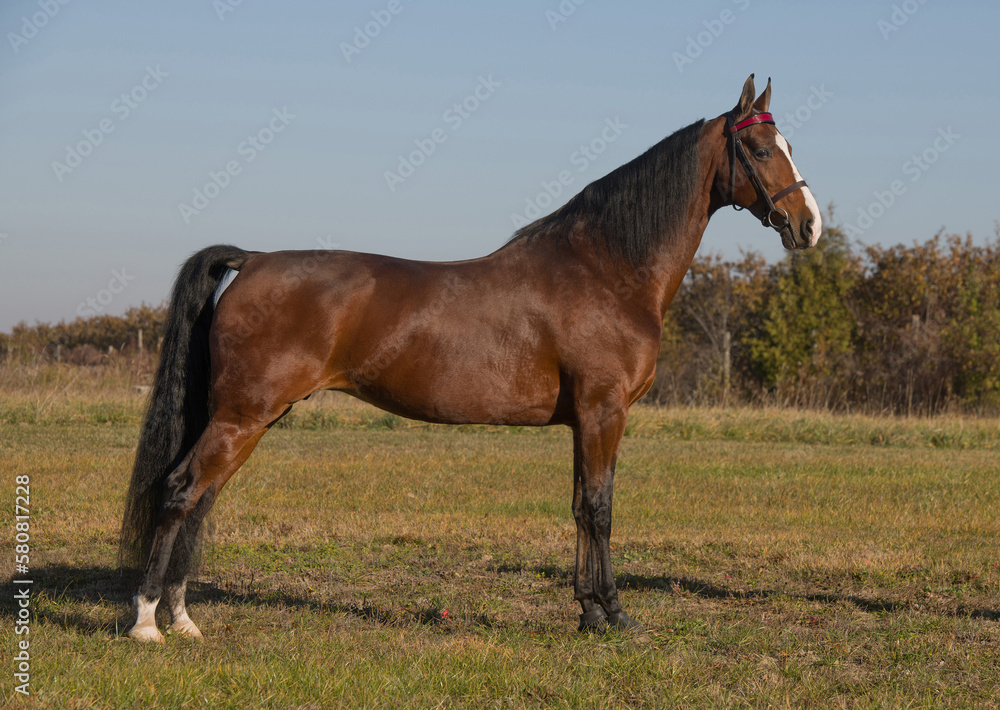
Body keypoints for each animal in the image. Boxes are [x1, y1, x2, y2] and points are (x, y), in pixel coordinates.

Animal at [120, 74, 822, 641]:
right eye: (762, 150)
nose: (808, 224)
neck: (605, 269)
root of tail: (254, 259)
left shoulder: (584, 421)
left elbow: (579, 507)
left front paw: (588, 613)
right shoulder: (604, 413)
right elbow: (600, 509)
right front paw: (615, 615)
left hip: (250, 417)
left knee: (202, 500)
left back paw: (183, 619)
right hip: (242, 414)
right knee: (181, 492)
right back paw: (148, 622)